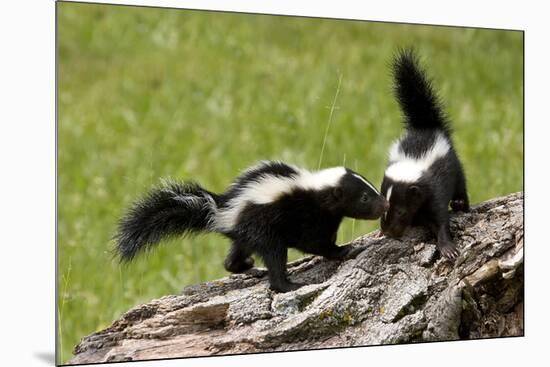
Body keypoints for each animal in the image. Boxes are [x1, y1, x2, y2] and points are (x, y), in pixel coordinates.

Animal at [115, 161, 390, 294]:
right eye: (365, 198)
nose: (385, 204)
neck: (314, 189)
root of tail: (222, 211)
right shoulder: (305, 215)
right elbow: (313, 242)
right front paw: (345, 250)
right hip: (262, 228)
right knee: (274, 257)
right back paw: (288, 285)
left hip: (247, 233)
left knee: (233, 257)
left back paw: (248, 267)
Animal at [382, 50, 472, 260]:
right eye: (384, 207)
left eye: (401, 212)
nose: (388, 231)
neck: (413, 162)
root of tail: (426, 125)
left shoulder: (434, 189)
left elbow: (440, 219)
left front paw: (448, 248)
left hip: (454, 164)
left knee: (461, 185)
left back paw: (460, 203)